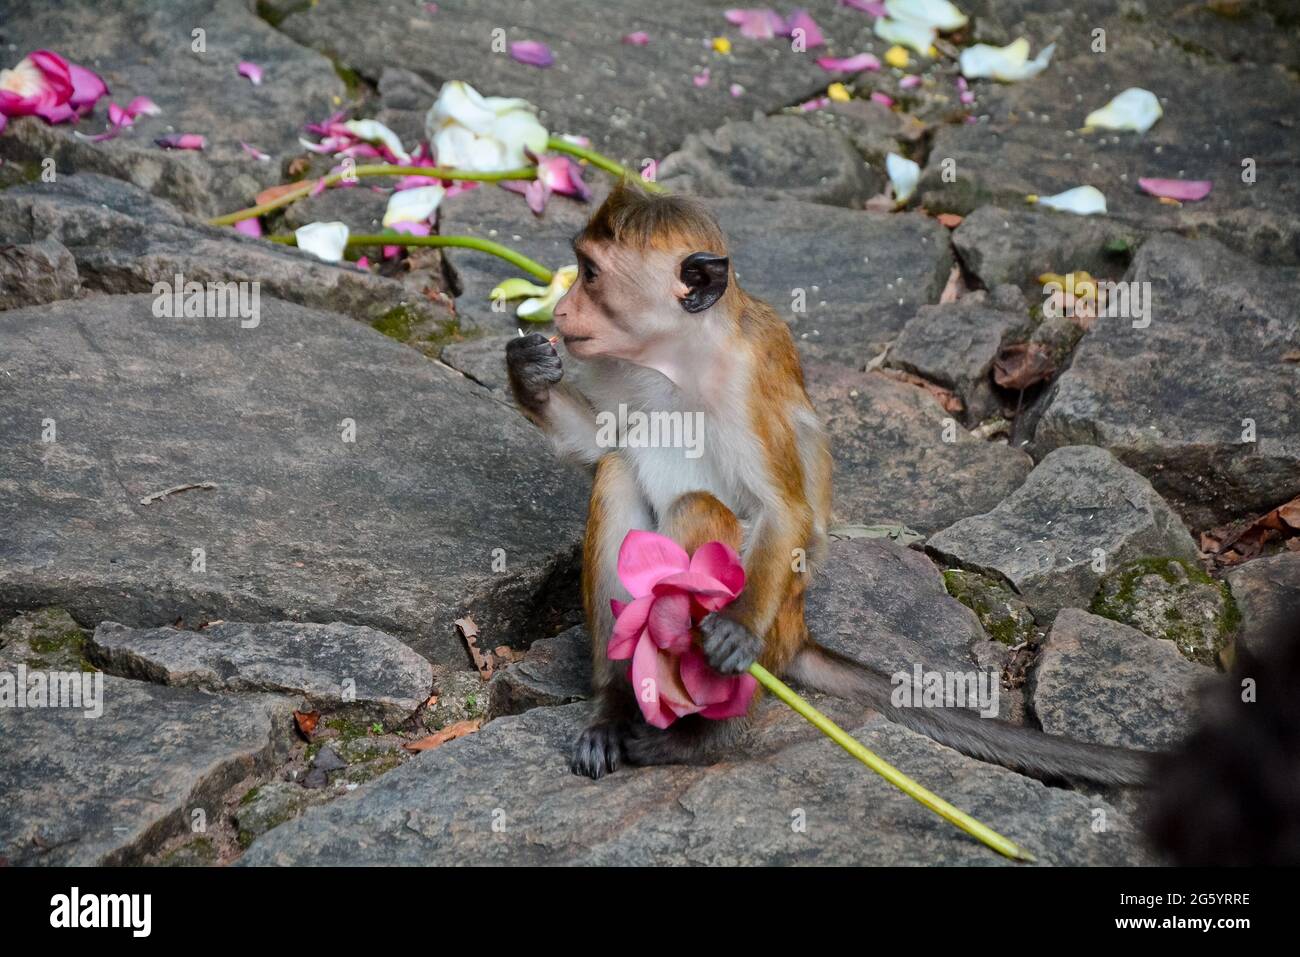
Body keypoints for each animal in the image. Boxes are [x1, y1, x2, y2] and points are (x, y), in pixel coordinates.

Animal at [506, 179, 1149, 785]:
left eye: (591, 275)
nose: (561, 313)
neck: (674, 360)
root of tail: (798, 633)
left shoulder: (747, 382)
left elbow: (783, 509)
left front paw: (736, 626)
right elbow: (602, 447)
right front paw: (528, 372)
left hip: (775, 624)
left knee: (698, 509)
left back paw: (700, 735)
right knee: (618, 475)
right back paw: (615, 704)